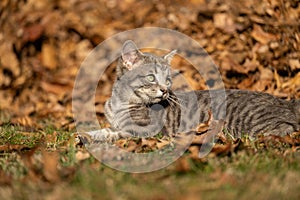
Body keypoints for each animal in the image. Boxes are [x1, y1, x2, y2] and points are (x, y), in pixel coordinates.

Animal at [81, 40, 300, 143]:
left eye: (168, 80)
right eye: (151, 77)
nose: (164, 90)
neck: (121, 103)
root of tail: (286, 102)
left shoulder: (145, 132)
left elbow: (114, 134)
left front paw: (90, 137)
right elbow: (107, 129)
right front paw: (85, 134)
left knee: (284, 129)